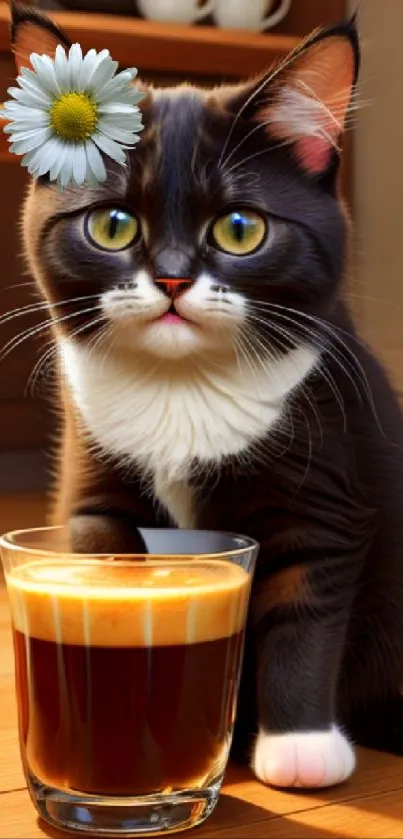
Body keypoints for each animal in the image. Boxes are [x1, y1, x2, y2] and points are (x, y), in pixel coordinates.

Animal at [9, 1, 403, 788]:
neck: (181, 386)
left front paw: (300, 746)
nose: (169, 277)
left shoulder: (331, 469)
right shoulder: (91, 468)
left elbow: (303, 608)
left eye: (240, 229)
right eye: (112, 224)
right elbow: (107, 557)